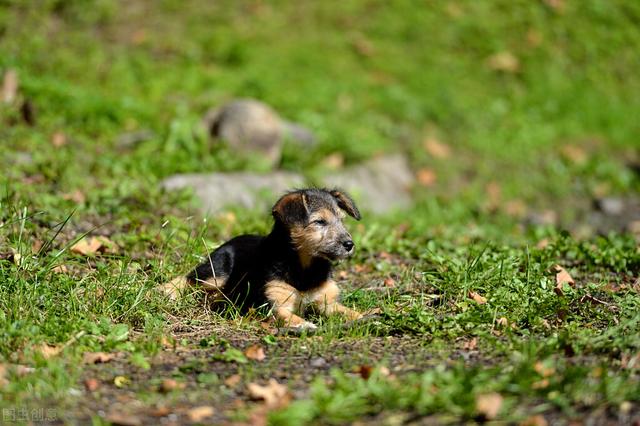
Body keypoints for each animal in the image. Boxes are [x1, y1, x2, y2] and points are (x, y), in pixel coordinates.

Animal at [165, 188, 362, 332]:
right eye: (320, 222)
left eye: (341, 220)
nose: (349, 244)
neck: (305, 268)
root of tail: (230, 241)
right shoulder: (271, 305)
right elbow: (286, 316)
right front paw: (303, 324)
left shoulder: (328, 302)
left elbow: (348, 311)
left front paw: (365, 317)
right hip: (217, 272)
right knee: (189, 277)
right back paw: (167, 291)